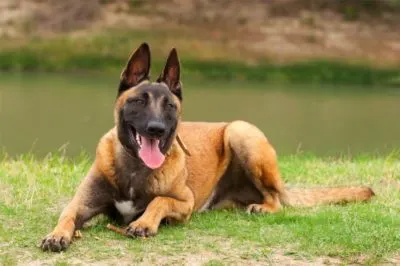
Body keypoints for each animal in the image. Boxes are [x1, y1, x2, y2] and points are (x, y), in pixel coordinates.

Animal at [40, 42, 376, 251]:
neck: (135, 169)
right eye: (139, 101)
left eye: (170, 106)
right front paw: (56, 235)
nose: (156, 129)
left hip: (241, 132)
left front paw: (144, 223)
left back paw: (263, 207)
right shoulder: (81, 204)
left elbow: (158, 201)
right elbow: (66, 215)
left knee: (276, 199)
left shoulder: (184, 203)